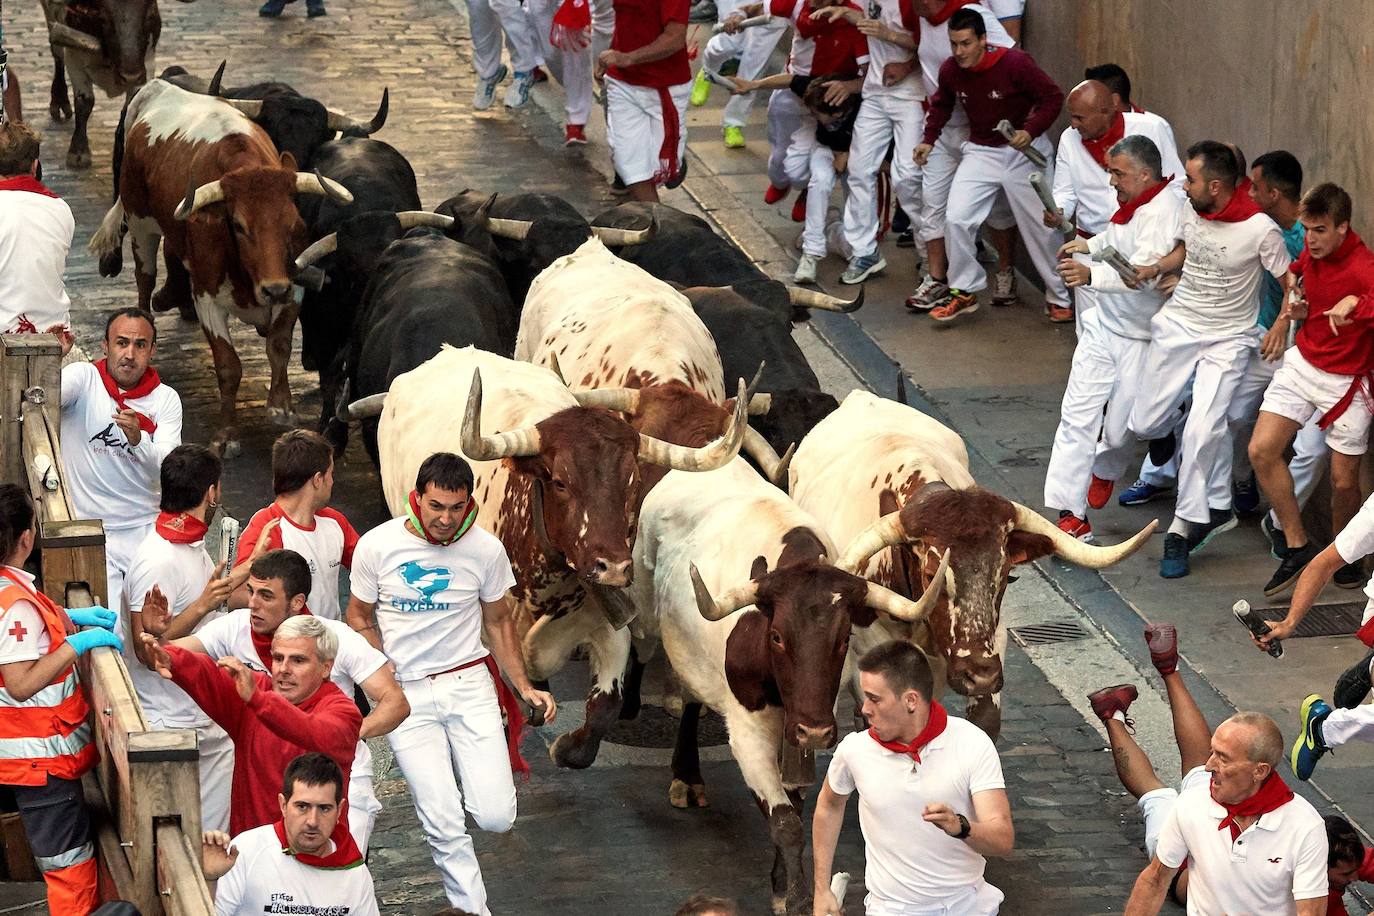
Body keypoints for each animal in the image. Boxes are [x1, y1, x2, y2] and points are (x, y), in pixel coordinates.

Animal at [87, 76, 351, 455]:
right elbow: (228, 367)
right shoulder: (207, 297)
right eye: (239, 225)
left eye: (292, 222)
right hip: (140, 223)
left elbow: (280, 345)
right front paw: (227, 435)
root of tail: (158, 88)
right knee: (144, 277)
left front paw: (281, 406)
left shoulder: (295, 286)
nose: (274, 288)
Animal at [626, 458, 939, 916]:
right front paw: (795, 898)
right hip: (648, 611)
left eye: (844, 637)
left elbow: (796, 805)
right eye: (776, 636)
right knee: (655, 659)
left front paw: (783, 886)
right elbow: (785, 821)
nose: (816, 729)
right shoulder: (748, 733)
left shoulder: (803, 730)